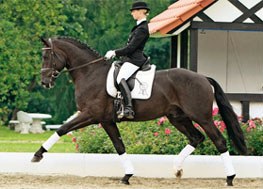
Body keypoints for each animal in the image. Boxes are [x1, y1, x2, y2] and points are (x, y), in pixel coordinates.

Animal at [31, 36, 248, 186]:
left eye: (46, 56)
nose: (44, 82)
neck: (90, 73)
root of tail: (203, 77)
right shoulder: (105, 120)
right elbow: (119, 146)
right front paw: (127, 176)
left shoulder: (91, 115)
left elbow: (63, 129)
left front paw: (38, 154)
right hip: (177, 117)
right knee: (196, 138)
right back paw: (177, 169)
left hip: (202, 117)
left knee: (219, 140)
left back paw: (230, 178)